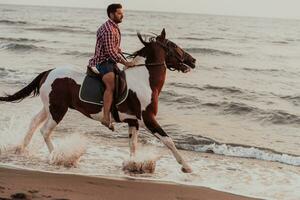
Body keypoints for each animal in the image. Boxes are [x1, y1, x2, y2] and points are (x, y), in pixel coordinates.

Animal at [0, 28, 197, 173]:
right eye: (174, 46)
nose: (193, 60)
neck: (144, 79)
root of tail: (48, 72)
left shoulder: (133, 121)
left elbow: (132, 145)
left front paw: (132, 165)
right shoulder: (148, 119)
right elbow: (168, 141)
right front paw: (186, 167)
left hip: (48, 107)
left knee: (34, 123)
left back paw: (21, 150)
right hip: (58, 110)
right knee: (45, 131)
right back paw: (59, 156)